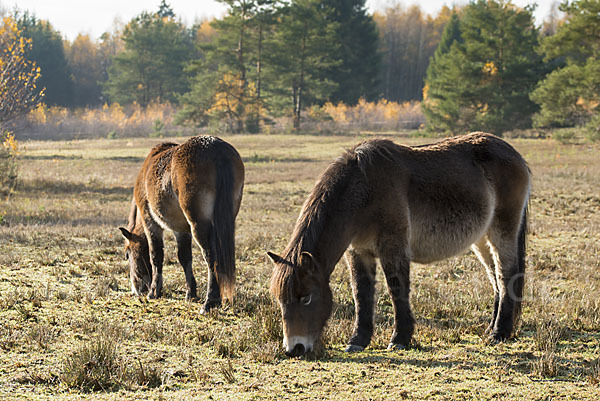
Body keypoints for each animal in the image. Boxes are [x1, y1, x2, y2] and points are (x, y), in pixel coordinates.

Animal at [119, 136, 244, 310]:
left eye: (127, 254)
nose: (137, 289)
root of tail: (216, 149)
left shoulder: (150, 222)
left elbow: (156, 255)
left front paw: (154, 291)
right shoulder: (181, 230)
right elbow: (184, 257)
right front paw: (190, 293)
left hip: (199, 225)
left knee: (211, 257)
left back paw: (209, 301)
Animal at [268, 133, 528, 354]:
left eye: (306, 297)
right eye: (281, 300)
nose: (294, 349)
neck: (364, 188)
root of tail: (515, 155)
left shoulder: (393, 247)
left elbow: (397, 289)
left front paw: (400, 338)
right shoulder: (359, 252)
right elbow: (361, 294)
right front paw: (358, 340)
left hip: (502, 231)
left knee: (506, 275)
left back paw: (499, 333)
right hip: (482, 239)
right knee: (495, 279)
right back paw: (492, 328)